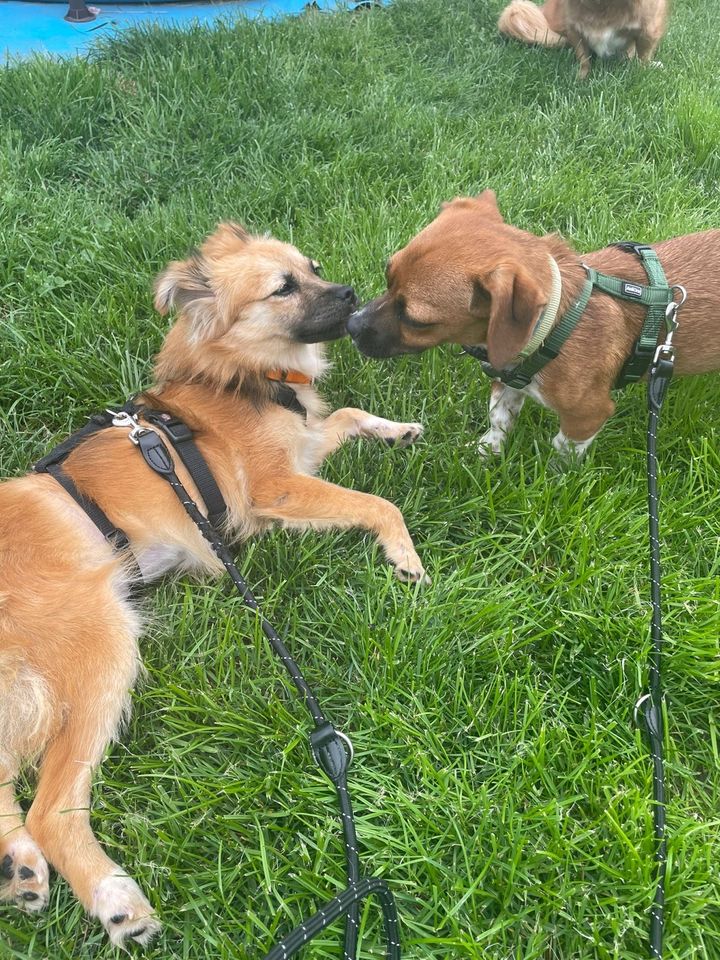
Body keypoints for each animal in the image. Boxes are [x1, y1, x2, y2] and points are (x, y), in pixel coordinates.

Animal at [0, 223, 428, 944]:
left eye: (314, 267)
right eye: (283, 288)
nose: (352, 292)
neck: (245, 375)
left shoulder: (302, 453)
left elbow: (345, 414)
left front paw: (395, 431)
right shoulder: (275, 489)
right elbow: (377, 502)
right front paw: (403, 554)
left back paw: (18, 866)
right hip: (100, 644)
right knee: (50, 807)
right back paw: (112, 898)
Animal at [348, 188, 720, 458]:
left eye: (415, 319)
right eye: (388, 276)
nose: (351, 326)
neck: (551, 327)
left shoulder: (589, 414)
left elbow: (563, 450)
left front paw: (557, 480)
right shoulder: (507, 381)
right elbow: (499, 419)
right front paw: (486, 453)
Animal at [496, 0, 668, 78]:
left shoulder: (649, 30)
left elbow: (643, 57)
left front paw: (642, 73)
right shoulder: (574, 29)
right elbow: (583, 58)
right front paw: (581, 77)